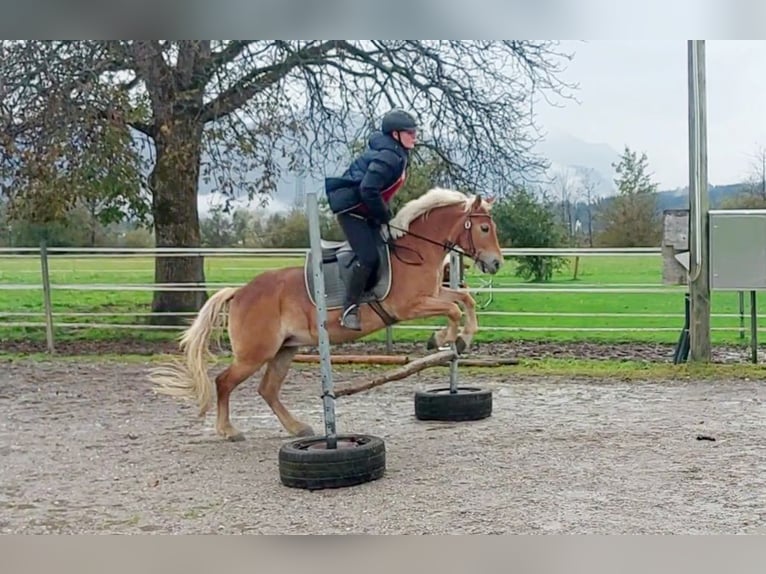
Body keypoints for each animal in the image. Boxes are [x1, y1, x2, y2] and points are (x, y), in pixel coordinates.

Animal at [153, 188, 508, 440]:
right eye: (484, 227)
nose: (496, 264)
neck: (416, 250)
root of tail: (239, 292)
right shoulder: (410, 305)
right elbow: (452, 309)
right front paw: (445, 338)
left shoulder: (434, 294)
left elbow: (464, 300)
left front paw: (458, 339)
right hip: (256, 353)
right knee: (224, 382)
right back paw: (228, 431)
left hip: (285, 349)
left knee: (267, 389)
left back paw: (297, 428)